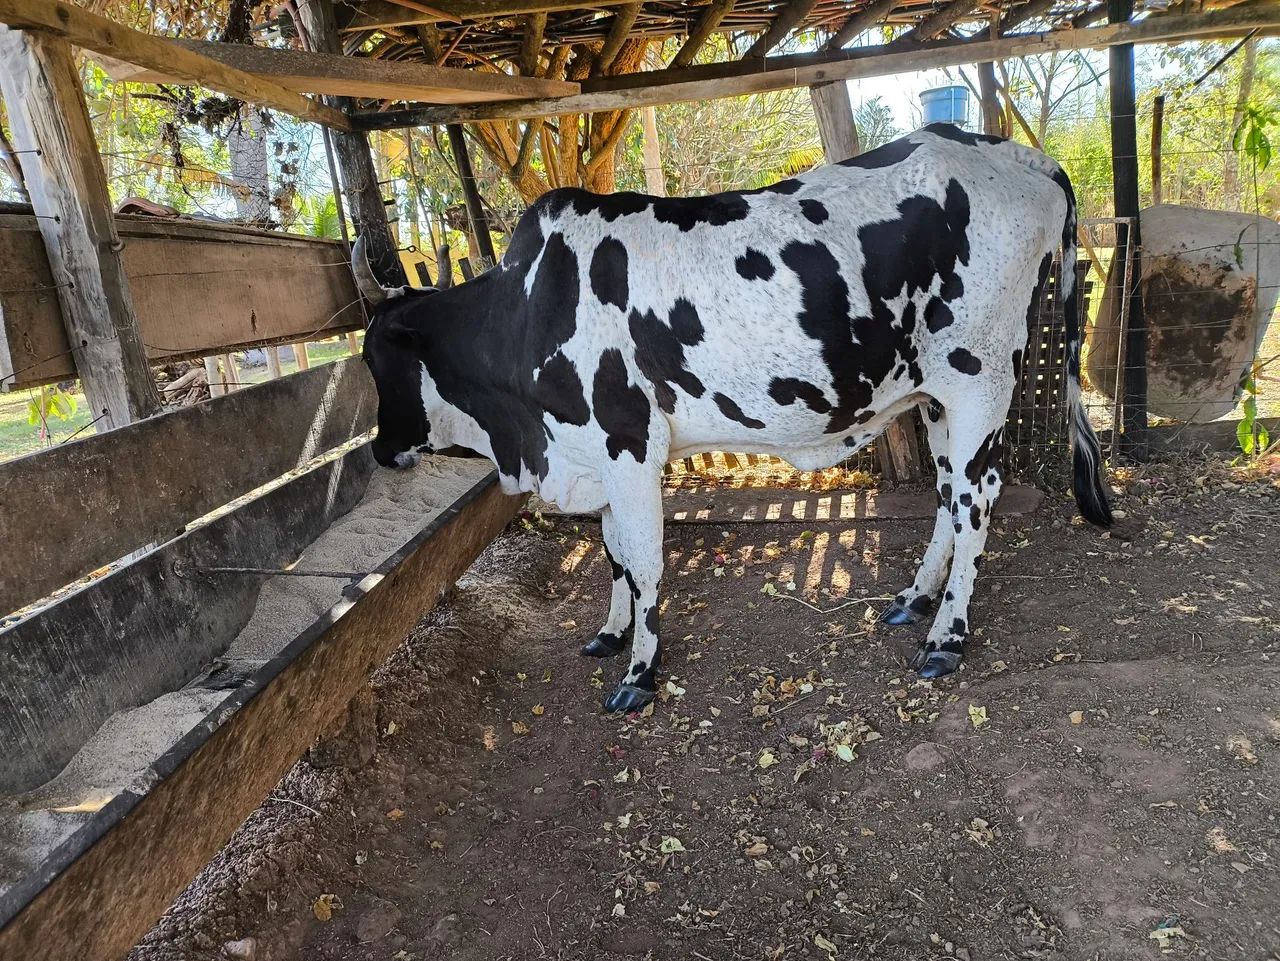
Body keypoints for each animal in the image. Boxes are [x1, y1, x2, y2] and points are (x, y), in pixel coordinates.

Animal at [353, 123, 1112, 713]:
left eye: (377, 356)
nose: (381, 450)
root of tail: (1011, 152)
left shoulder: (629, 446)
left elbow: (644, 562)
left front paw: (640, 673)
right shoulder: (597, 458)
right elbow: (614, 554)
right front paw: (611, 633)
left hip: (982, 380)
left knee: (977, 499)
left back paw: (947, 637)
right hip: (936, 398)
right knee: (951, 495)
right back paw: (916, 598)